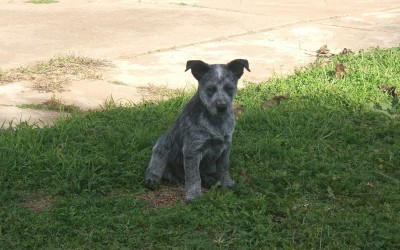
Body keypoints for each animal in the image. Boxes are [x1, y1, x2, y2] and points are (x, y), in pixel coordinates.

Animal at [144, 59, 250, 203]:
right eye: (210, 89)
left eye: (229, 88)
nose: (222, 107)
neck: (216, 121)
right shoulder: (192, 149)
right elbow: (193, 176)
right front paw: (193, 196)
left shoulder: (226, 146)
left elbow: (223, 168)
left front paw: (227, 183)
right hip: (161, 146)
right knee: (157, 166)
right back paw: (152, 180)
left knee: (204, 172)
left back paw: (209, 180)